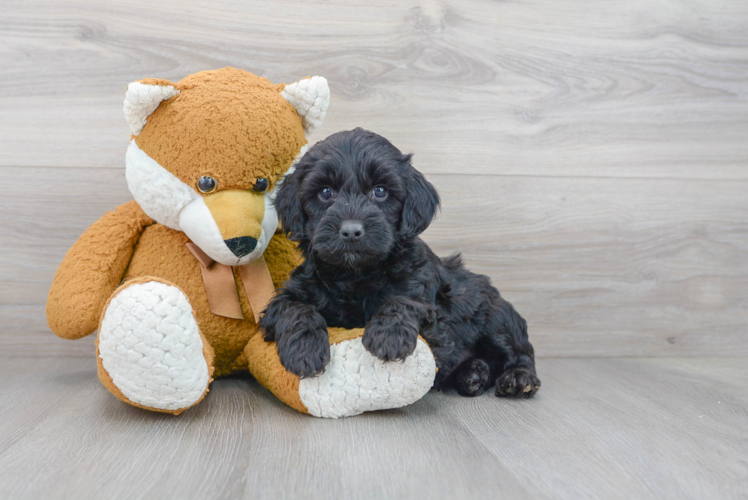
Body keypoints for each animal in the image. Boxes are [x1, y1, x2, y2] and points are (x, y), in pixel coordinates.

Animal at [260, 129, 540, 398]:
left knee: (519, 352)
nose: (351, 231)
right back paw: (473, 375)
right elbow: (294, 308)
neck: (355, 274)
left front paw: (389, 336)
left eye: (380, 191)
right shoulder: (288, 295)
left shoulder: (424, 296)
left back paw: (519, 380)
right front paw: (304, 350)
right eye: (325, 192)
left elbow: (404, 301)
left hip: (495, 315)